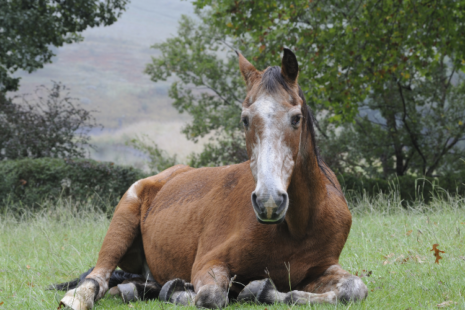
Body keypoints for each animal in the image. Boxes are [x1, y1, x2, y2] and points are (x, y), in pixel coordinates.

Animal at [56, 49, 366, 310]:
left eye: (296, 117)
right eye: (245, 119)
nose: (269, 202)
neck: (298, 226)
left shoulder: (321, 269)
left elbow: (354, 288)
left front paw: (261, 290)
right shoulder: (209, 262)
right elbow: (211, 296)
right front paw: (186, 292)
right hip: (122, 221)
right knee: (98, 278)